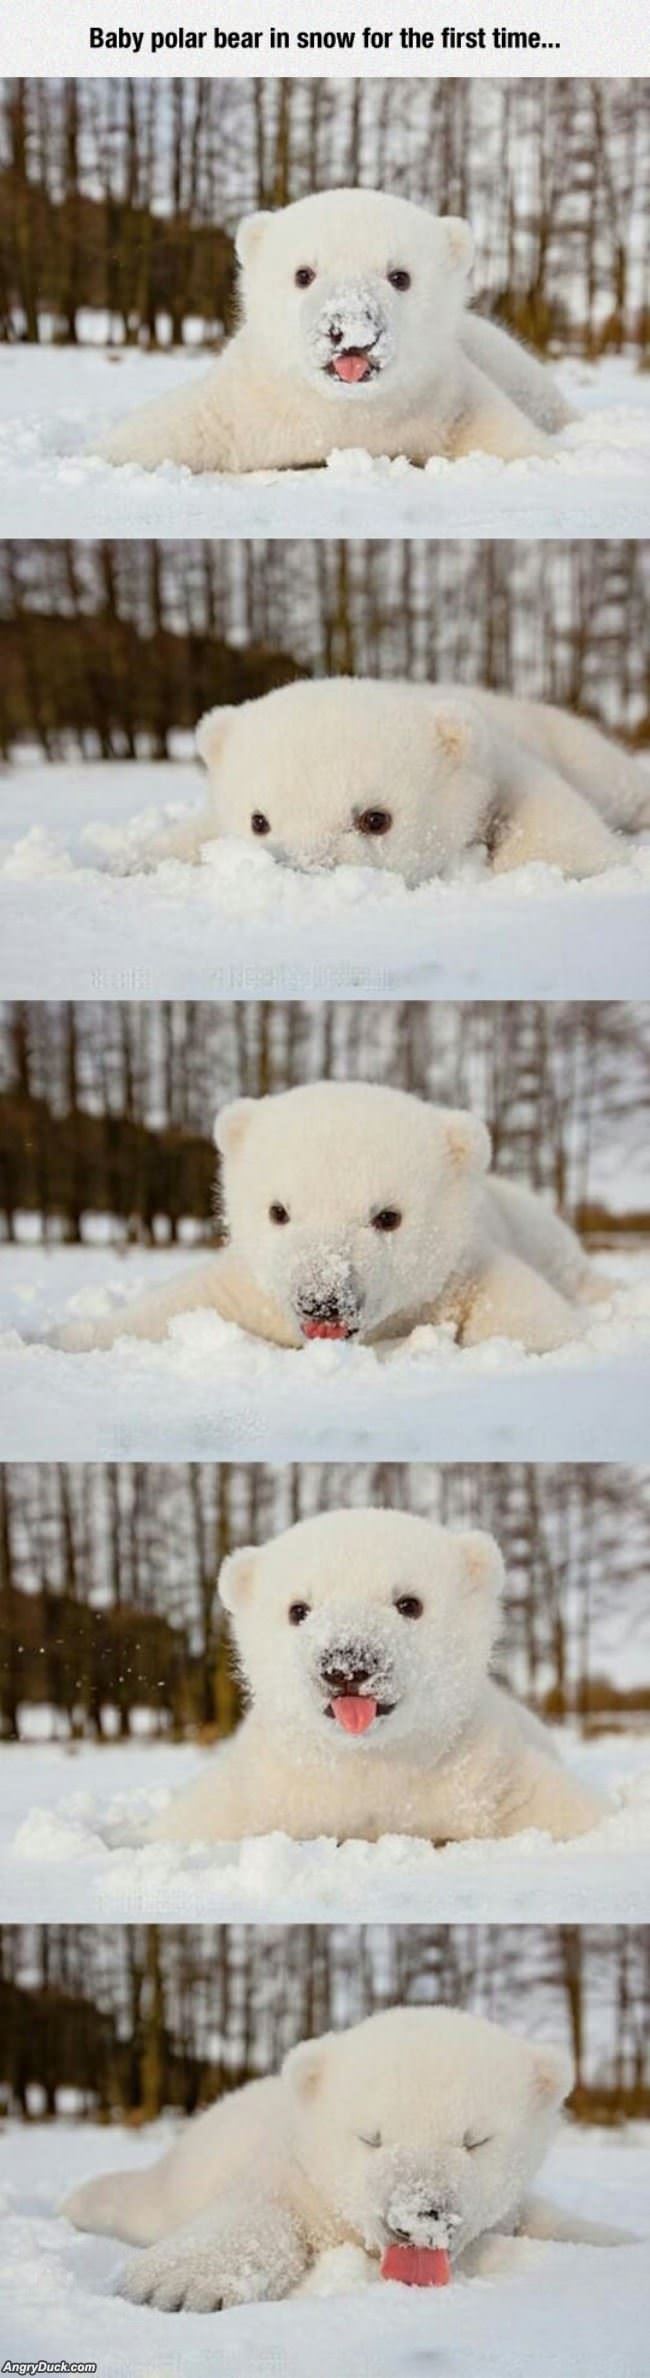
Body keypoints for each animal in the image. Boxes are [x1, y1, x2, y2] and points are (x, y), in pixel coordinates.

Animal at [56, 1084, 614, 1360]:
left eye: (387, 1216)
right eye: (278, 1211)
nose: (321, 1300)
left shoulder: (460, 1272)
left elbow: (527, 1312)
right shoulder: (252, 1289)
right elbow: (177, 1307)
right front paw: (66, 1336)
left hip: (537, 1225)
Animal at [63, 1997, 623, 2311]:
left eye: (475, 2139)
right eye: (370, 2136)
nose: (418, 2215)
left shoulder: (509, 2206)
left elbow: (545, 2218)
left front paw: (617, 2241)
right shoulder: (291, 2171)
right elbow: (259, 2211)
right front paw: (174, 2283)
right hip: (178, 2176)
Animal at [96, 187, 571, 475]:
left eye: (400, 276)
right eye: (303, 273)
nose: (352, 329)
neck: (343, 416)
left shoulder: (449, 402)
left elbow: (513, 440)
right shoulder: (240, 407)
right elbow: (164, 430)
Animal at [142, 680, 647, 884]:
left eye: (375, 818)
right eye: (258, 821)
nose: (307, 869)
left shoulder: (504, 765)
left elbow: (555, 828)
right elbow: (191, 836)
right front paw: (134, 858)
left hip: (571, 743)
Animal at [148, 1512, 602, 1845]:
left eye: (409, 1603)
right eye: (298, 1609)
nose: (345, 1664)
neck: (368, 1763)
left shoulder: (488, 1776)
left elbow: (564, 1810)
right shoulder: (262, 1790)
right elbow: (198, 1820)